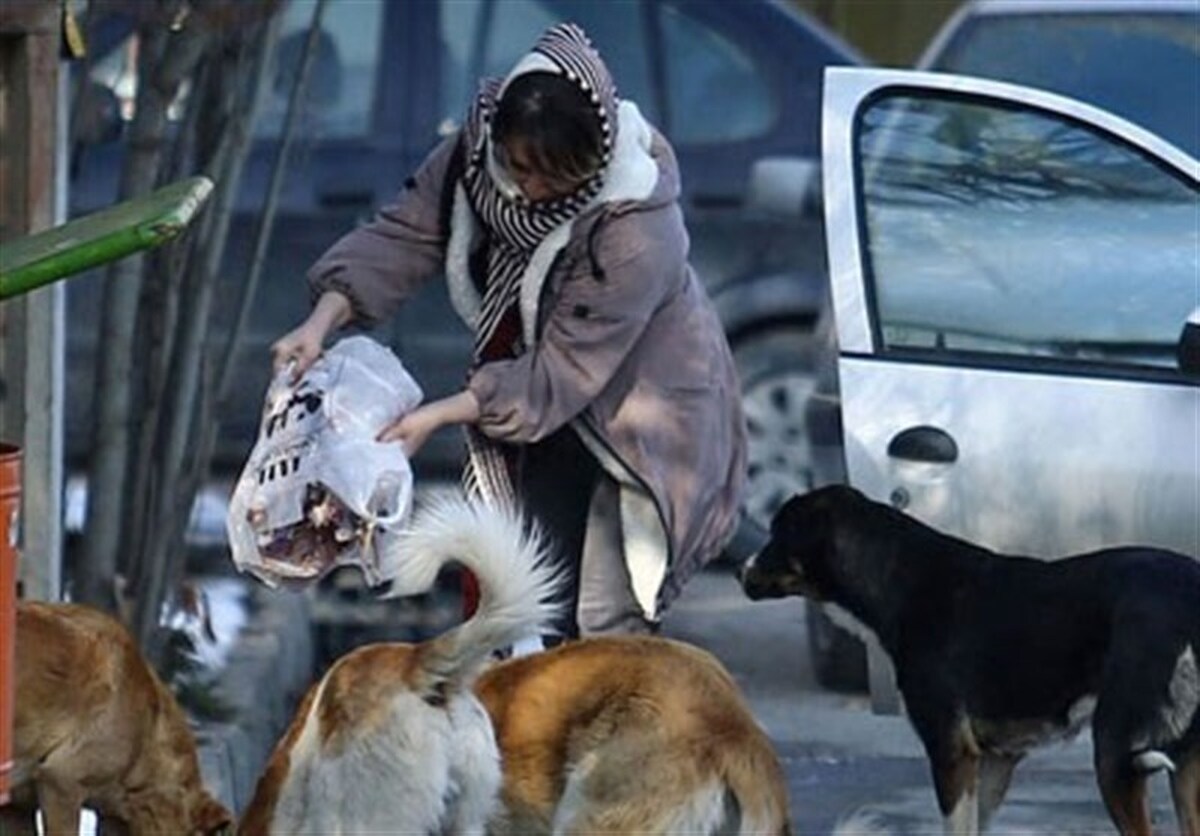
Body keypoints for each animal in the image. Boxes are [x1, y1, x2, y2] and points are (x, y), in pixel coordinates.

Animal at [739, 482, 1200, 834]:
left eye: (778, 534)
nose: (739, 571)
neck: (899, 579)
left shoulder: (951, 753)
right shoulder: (995, 761)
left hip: (1116, 757)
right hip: (1185, 769)